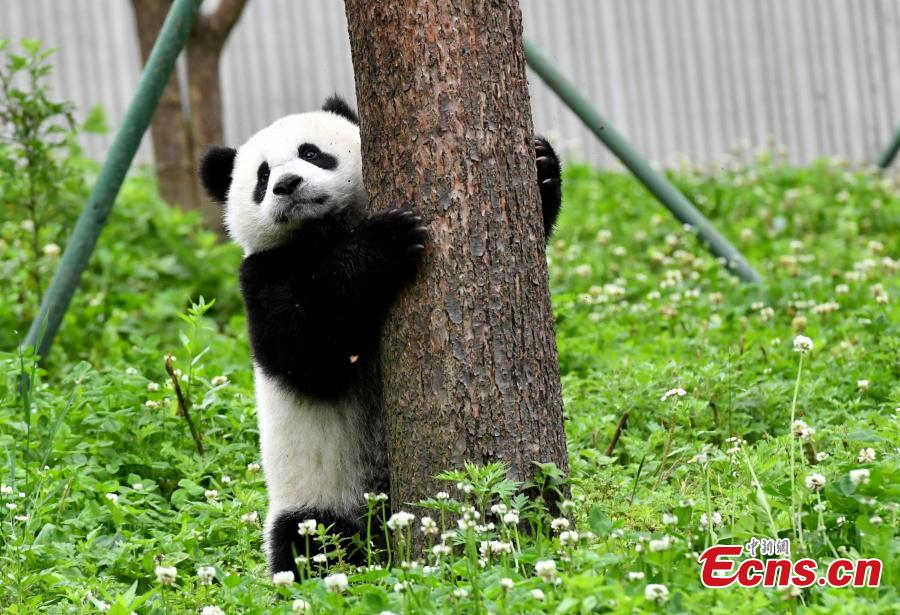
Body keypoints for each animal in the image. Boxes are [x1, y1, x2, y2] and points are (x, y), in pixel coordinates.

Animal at [198, 95, 563, 577]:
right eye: (262, 176)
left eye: (311, 152)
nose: (288, 184)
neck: (324, 231)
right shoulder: (261, 274)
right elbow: (308, 354)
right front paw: (385, 243)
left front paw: (541, 164)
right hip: (318, 501)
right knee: (309, 541)